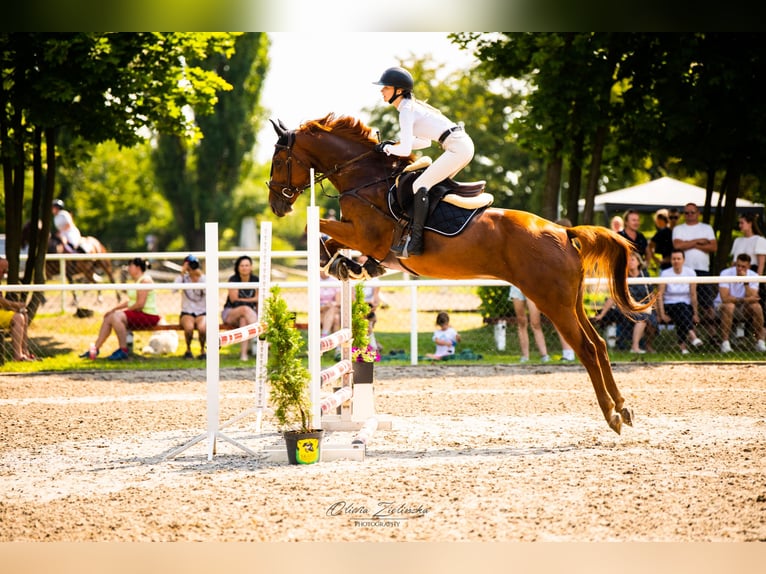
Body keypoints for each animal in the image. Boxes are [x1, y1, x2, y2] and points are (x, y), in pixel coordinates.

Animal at [268, 115, 656, 434]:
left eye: (278, 161)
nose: (277, 205)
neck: (365, 178)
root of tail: (564, 232)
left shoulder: (366, 236)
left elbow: (316, 227)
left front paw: (339, 261)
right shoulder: (360, 236)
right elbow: (329, 238)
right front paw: (347, 265)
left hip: (552, 302)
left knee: (587, 349)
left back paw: (612, 416)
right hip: (570, 301)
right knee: (601, 345)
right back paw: (624, 408)